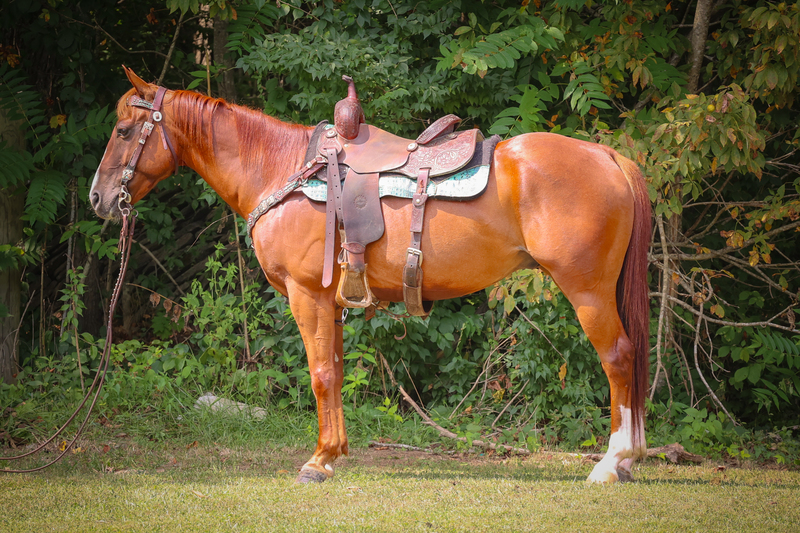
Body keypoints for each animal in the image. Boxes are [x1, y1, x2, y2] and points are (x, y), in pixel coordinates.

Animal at [90, 66, 652, 482]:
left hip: (587, 291)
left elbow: (318, 374)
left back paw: (613, 462)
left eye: (123, 131)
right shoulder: (331, 302)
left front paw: (317, 461)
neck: (282, 169)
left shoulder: (306, 295)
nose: (98, 198)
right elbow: (335, 373)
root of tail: (609, 156)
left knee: (618, 358)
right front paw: (334, 453)